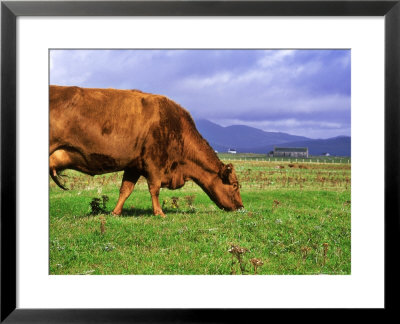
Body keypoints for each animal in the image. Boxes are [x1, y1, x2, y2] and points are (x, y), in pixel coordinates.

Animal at [50, 85, 244, 218]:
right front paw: (159, 212)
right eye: (235, 185)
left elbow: (125, 189)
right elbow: (154, 188)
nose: (241, 207)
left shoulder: (133, 166)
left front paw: (115, 212)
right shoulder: (154, 163)